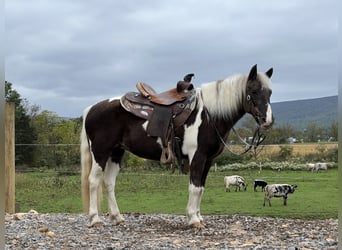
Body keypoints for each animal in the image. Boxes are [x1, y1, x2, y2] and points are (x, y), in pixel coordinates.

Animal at [81, 65, 274, 229]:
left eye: (270, 92)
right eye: (253, 91)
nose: (268, 121)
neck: (209, 115)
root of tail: (91, 108)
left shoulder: (208, 160)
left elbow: (201, 188)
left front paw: (198, 217)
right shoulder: (198, 156)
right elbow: (194, 187)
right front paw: (193, 220)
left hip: (116, 153)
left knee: (109, 182)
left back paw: (117, 217)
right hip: (100, 152)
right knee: (94, 181)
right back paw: (95, 220)